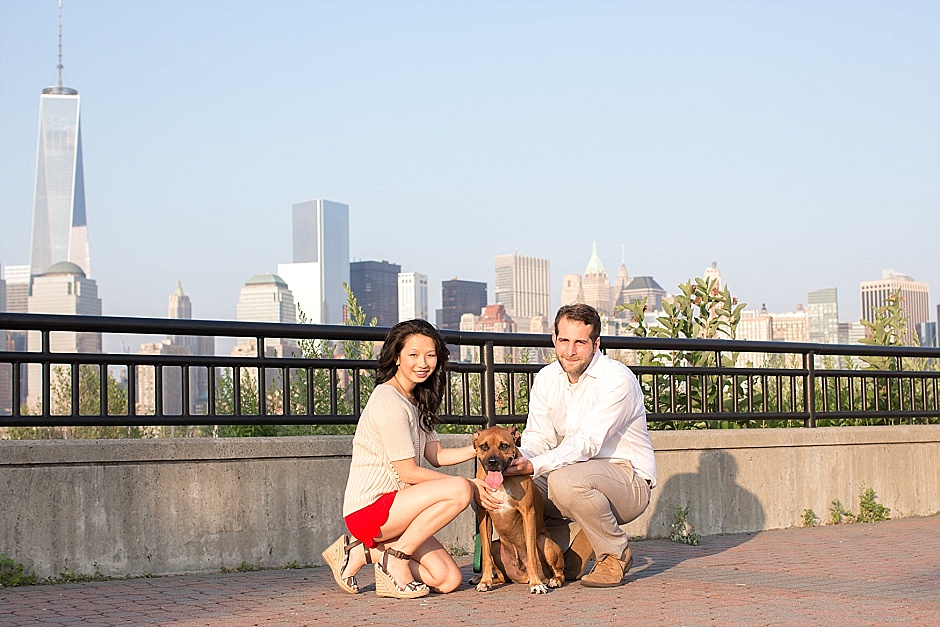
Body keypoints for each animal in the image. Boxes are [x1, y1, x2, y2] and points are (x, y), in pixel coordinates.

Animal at [470, 426, 564, 592]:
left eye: (503, 446)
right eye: (484, 446)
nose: (492, 462)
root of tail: (522, 577)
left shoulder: (528, 514)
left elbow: (531, 554)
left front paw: (536, 584)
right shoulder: (484, 515)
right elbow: (486, 556)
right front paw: (485, 581)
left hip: (545, 542)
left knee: (559, 572)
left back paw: (553, 580)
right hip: (496, 547)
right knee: (502, 576)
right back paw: (483, 579)